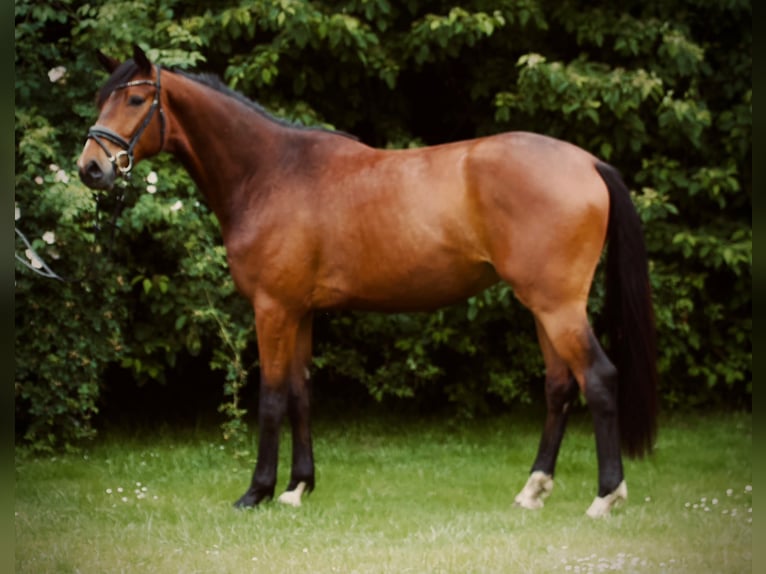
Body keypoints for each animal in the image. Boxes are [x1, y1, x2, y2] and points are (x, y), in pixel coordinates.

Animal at [77, 45, 657, 517]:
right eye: (102, 99)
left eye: (135, 100)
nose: (90, 169)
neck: (271, 172)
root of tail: (588, 162)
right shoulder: (300, 311)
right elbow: (300, 391)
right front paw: (297, 488)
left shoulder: (272, 308)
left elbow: (271, 396)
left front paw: (257, 492)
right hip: (543, 306)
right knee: (560, 385)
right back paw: (532, 491)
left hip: (559, 306)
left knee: (599, 378)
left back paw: (606, 496)